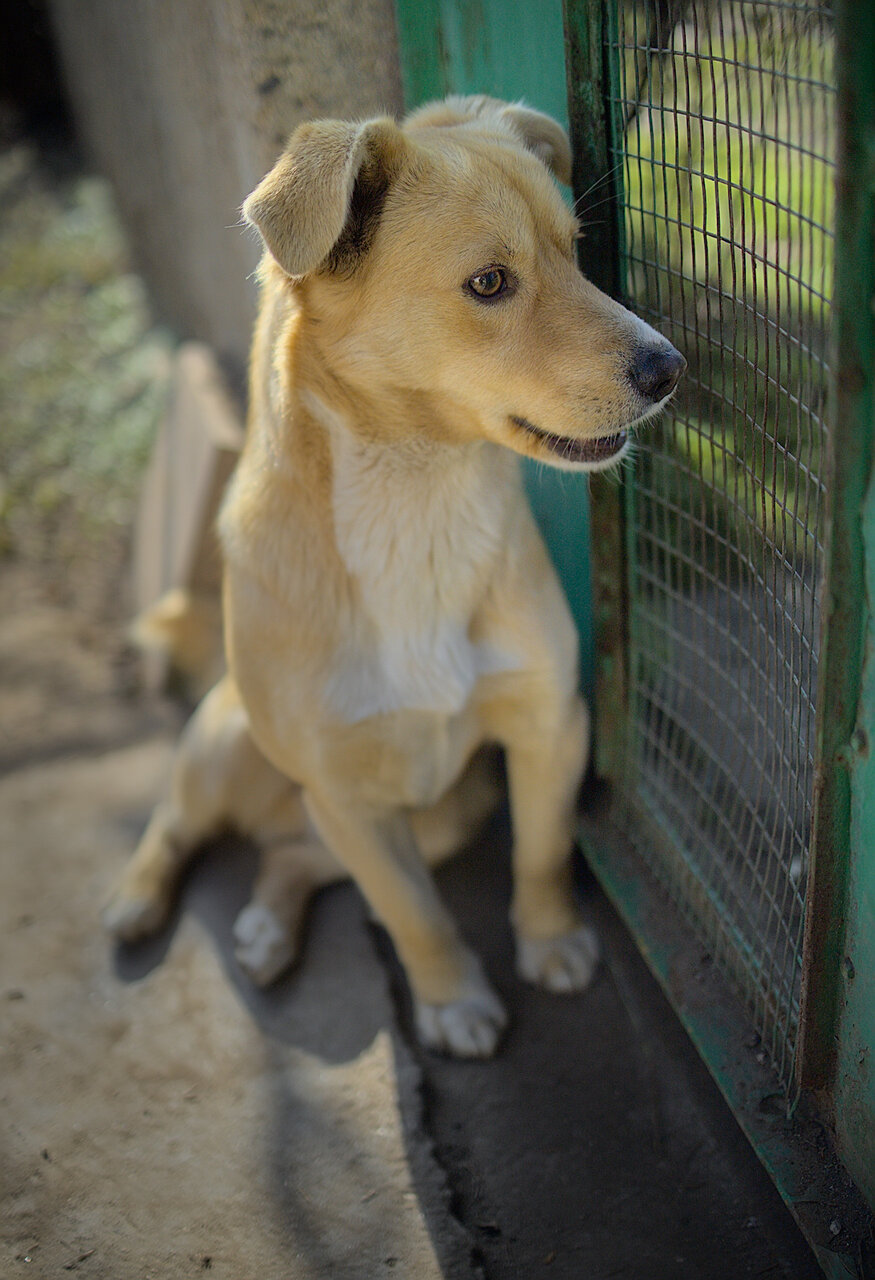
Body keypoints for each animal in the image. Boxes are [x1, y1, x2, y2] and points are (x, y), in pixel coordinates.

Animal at [105, 95, 684, 1057]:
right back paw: (136, 897)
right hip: (227, 745)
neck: (420, 502)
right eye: (488, 283)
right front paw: (452, 999)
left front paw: (550, 940)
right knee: (178, 819)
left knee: (289, 856)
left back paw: (267, 927)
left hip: (445, 813)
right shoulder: (346, 796)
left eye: (574, 249)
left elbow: (540, 850)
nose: (670, 367)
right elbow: (414, 915)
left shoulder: (548, 724)